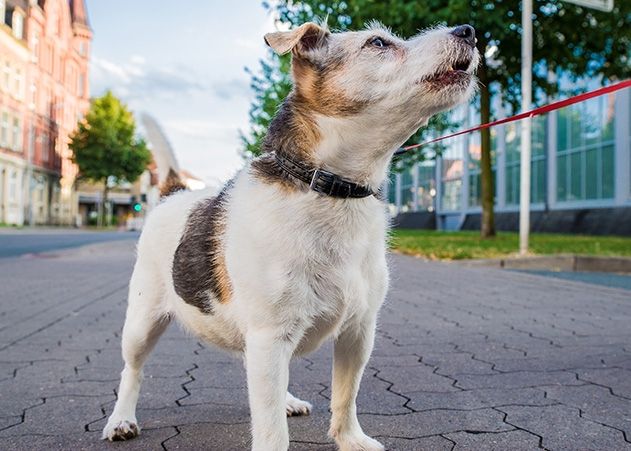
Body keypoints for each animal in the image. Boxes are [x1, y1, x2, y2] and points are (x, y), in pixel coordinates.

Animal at [102, 20, 478, 448]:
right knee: (132, 371)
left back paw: (286, 400)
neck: (328, 190)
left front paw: (350, 438)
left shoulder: (358, 332)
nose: (468, 30)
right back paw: (121, 419)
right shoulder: (270, 337)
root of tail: (174, 194)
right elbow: (270, 430)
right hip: (141, 323)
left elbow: (345, 397)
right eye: (378, 43)